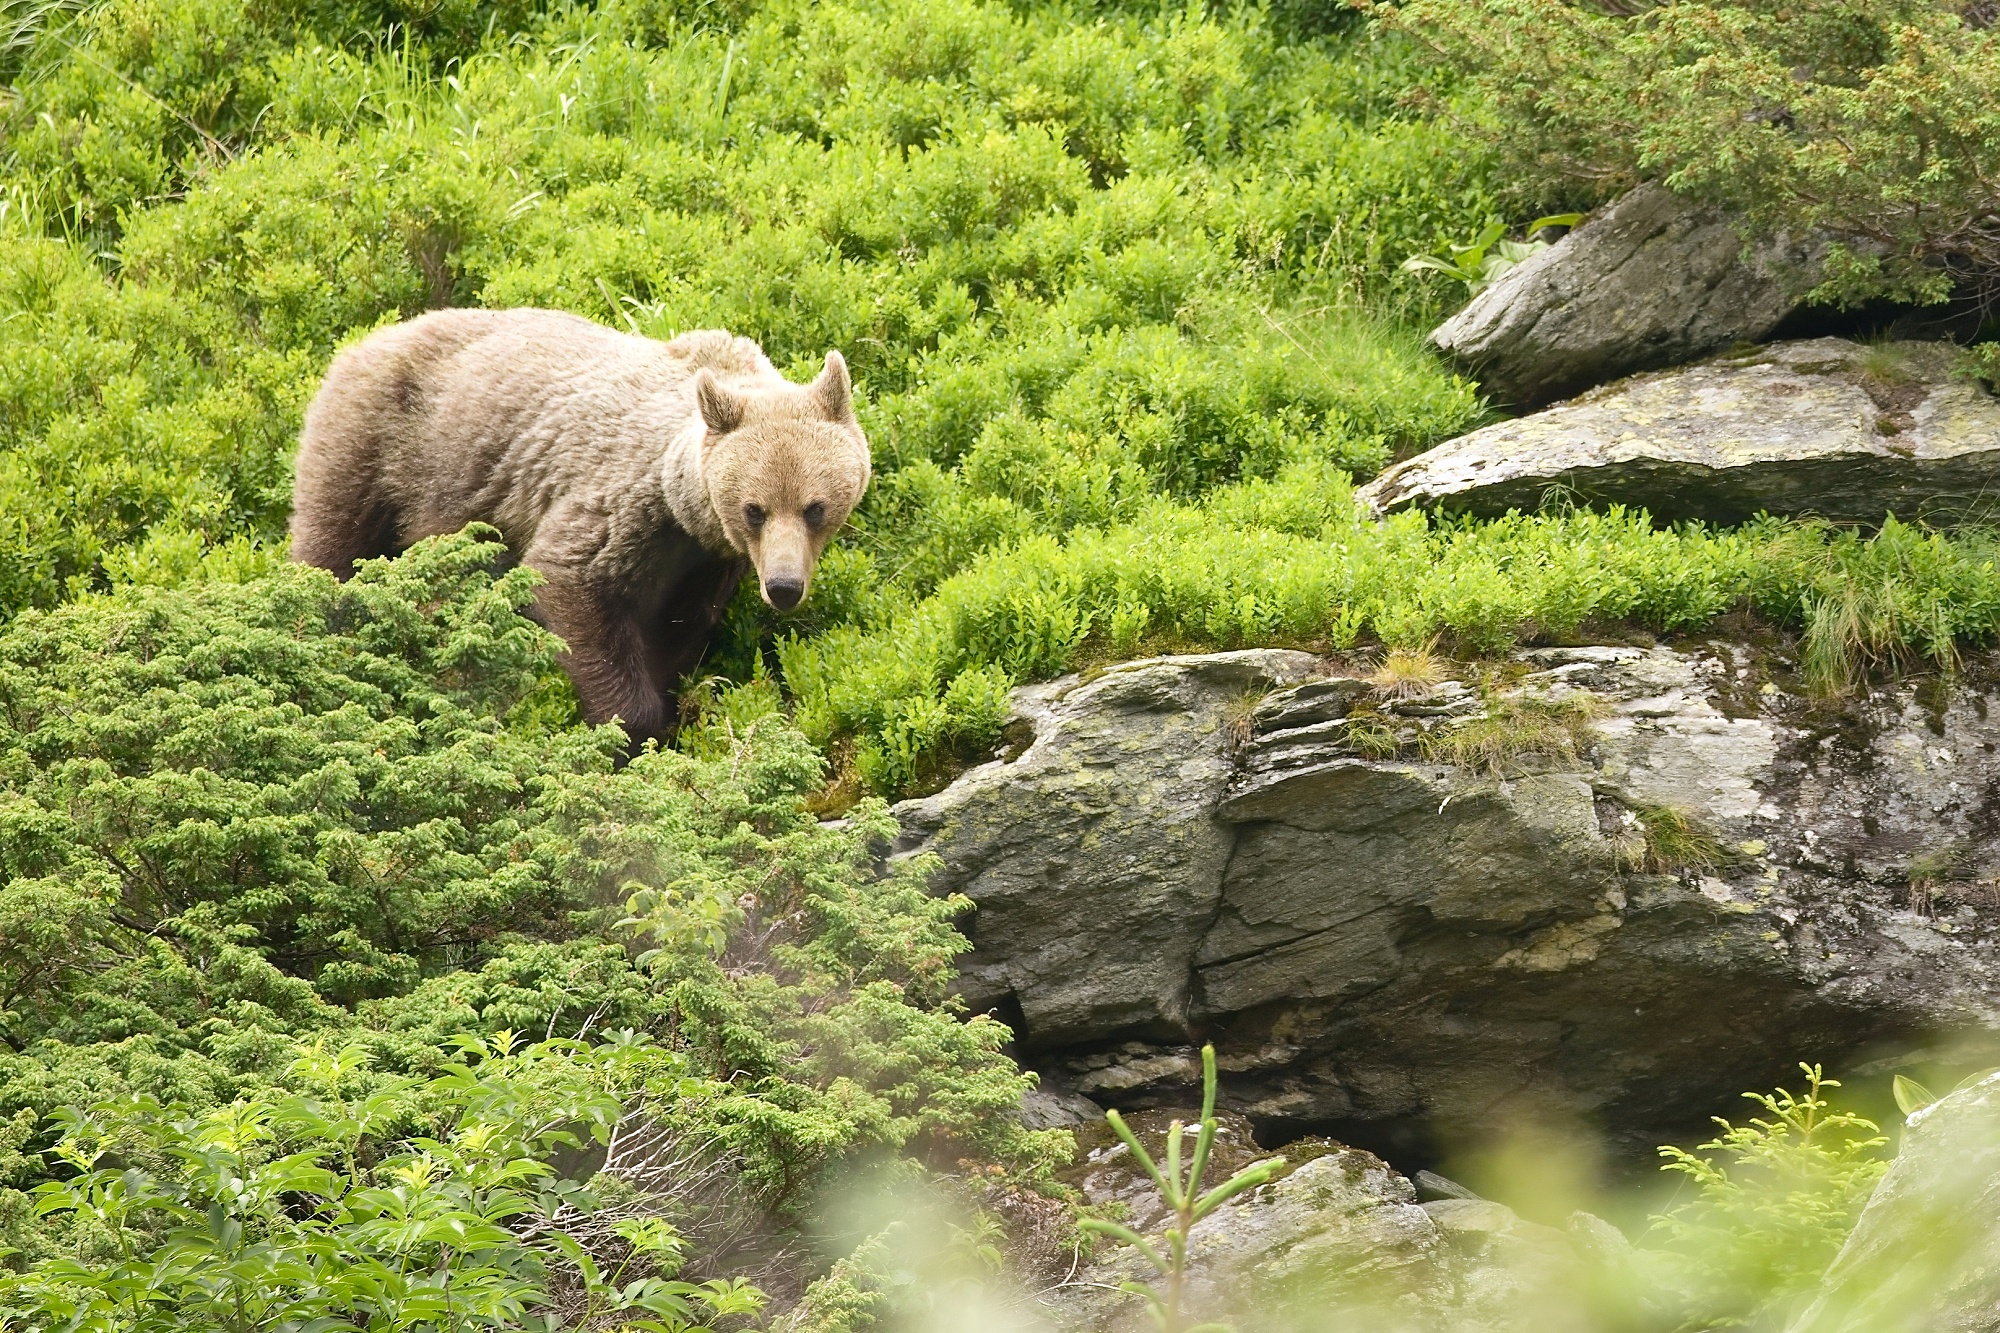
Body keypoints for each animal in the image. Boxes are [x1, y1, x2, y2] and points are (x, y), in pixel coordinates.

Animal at [290, 308, 868, 740]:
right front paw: (630, 726)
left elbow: (677, 629)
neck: (683, 513)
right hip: (378, 445)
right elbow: (569, 578)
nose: (784, 586)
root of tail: (364, 341)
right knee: (332, 546)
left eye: (814, 507)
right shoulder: (619, 504)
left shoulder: (702, 562)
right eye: (755, 508)